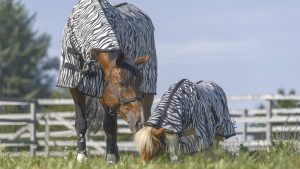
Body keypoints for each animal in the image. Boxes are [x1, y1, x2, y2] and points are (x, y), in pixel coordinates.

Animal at [57, 0, 158, 164]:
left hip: (148, 93)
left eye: (139, 82)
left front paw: (110, 158)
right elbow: (81, 122)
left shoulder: (104, 93)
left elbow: (109, 125)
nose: (137, 121)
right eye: (121, 82)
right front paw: (82, 156)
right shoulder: (74, 87)